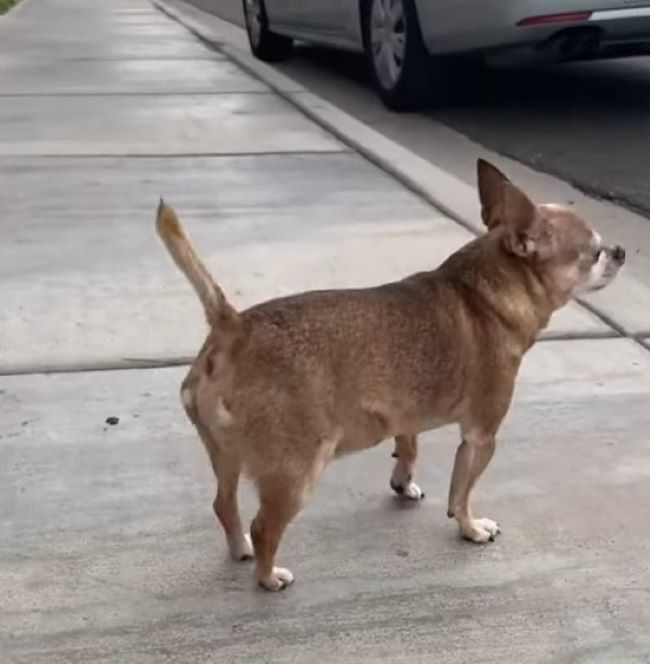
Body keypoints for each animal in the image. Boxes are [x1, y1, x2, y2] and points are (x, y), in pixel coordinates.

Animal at [156, 160, 624, 592]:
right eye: (594, 252)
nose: (620, 250)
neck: (483, 293)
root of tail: (234, 326)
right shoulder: (481, 436)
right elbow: (462, 491)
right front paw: (471, 528)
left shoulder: (404, 411)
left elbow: (408, 447)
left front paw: (404, 482)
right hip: (296, 472)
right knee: (264, 526)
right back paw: (268, 577)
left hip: (225, 455)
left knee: (224, 505)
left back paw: (241, 550)